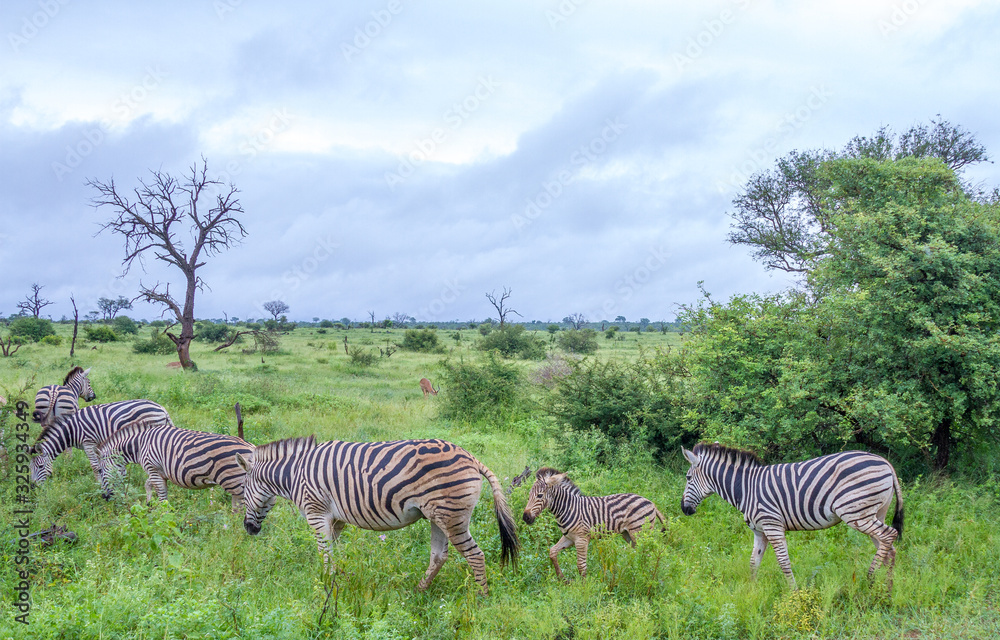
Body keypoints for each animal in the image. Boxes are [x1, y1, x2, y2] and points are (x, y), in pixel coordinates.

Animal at [29, 400, 174, 486]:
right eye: (29, 468)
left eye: (40, 467)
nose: (33, 486)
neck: (71, 430)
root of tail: (162, 409)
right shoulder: (97, 445)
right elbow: (101, 464)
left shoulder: (88, 442)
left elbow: (94, 466)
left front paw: (98, 484)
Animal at [97, 422, 253, 509]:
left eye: (100, 471)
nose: (105, 497)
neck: (140, 445)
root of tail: (251, 447)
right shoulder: (158, 472)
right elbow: (148, 485)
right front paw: (149, 504)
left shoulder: (153, 468)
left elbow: (162, 497)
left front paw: (163, 519)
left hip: (235, 483)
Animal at [233, 435, 519, 594]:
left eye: (243, 491)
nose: (249, 529)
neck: (294, 475)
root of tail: (471, 457)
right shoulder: (336, 519)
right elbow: (335, 552)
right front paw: (338, 578)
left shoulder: (316, 512)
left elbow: (325, 553)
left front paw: (325, 584)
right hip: (438, 517)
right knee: (439, 556)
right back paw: (418, 591)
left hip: (452, 517)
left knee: (475, 555)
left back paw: (481, 598)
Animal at [522, 467, 665, 580]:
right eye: (529, 494)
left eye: (540, 495)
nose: (525, 518)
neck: (568, 508)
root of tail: (651, 502)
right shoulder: (569, 537)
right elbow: (552, 552)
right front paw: (562, 579)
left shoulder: (581, 539)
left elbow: (581, 565)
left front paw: (584, 589)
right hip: (628, 534)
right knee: (641, 553)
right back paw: (636, 572)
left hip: (640, 532)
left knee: (647, 553)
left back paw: (645, 575)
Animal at [680, 443, 904, 590]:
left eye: (688, 478)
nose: (684, 509)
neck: (745, 488)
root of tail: (885, 462)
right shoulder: (760, 531)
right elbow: (754, 562)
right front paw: (751, 591)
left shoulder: (772, 525)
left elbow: (783, 562)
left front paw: (794, 593)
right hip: (875, 512)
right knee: (888, 547)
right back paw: (887, 587)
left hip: (856, 512)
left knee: (889, 535)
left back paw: (870, 579)